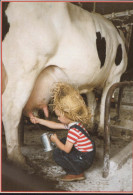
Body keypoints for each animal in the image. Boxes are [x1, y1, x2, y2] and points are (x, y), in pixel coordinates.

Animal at [1, 2, 127, 165]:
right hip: (24, 69)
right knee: (11, 109)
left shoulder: (91, 82)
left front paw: (89, 124)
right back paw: (17, 157)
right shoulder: (115, 75)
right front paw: (100, 129)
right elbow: (104, 101)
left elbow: (91, 103)